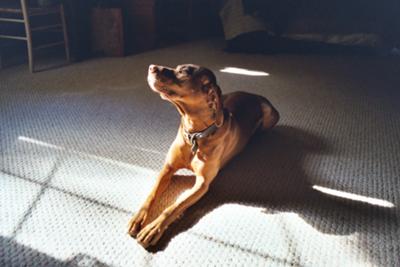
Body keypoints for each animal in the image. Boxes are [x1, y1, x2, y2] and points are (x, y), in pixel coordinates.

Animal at [127, 63, 278, 248]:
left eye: (183, 71)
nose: (151, 67)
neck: (195, 134)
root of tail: (253, 95)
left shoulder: (202, 184)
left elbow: (174, 207)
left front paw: (153, 228)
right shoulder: (168, 168)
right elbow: (152, 194)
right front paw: (138, 218)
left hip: (271, 116)